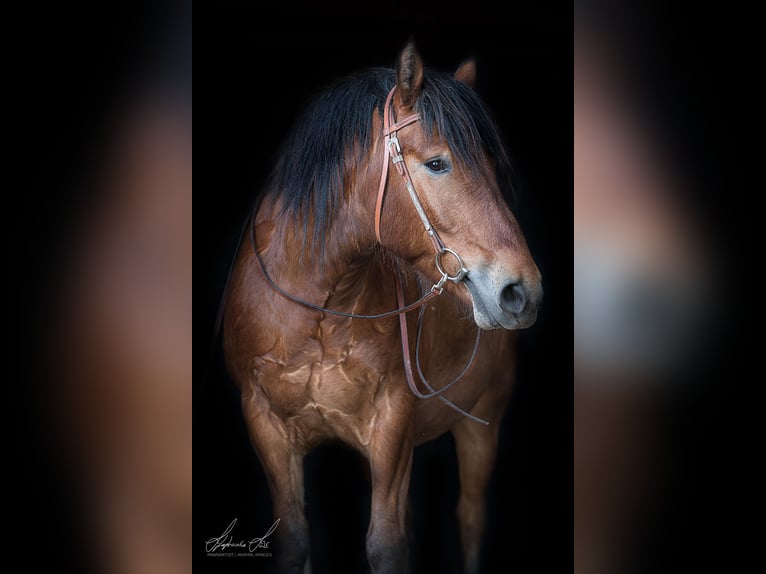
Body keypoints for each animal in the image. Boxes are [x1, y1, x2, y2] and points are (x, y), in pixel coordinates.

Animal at [222, 45, 544, 574]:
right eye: (437, 163)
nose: (523, 291)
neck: (319, 312)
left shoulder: (392, 427)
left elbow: (387, 545)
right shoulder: (265, 425)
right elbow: (295, 540)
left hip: (482, 425)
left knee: (470, 517)